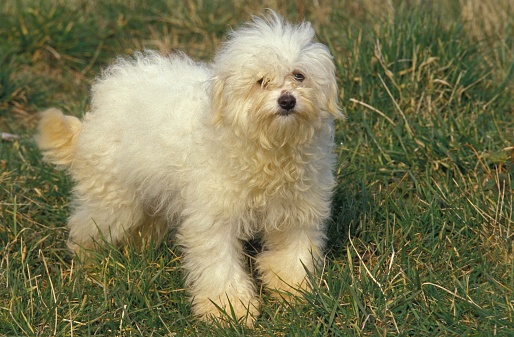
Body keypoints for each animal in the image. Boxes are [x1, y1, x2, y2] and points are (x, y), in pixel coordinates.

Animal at [35, 11, 340, 326]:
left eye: (299, 75)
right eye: (261, 81)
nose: (287, 100)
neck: (269, 149)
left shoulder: (298, 211)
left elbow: (291, 255)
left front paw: (294, 292)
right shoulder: (213, 217)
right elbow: (219, 264)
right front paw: (229, 310)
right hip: (114, 199)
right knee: (86, 225)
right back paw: (90, 262)